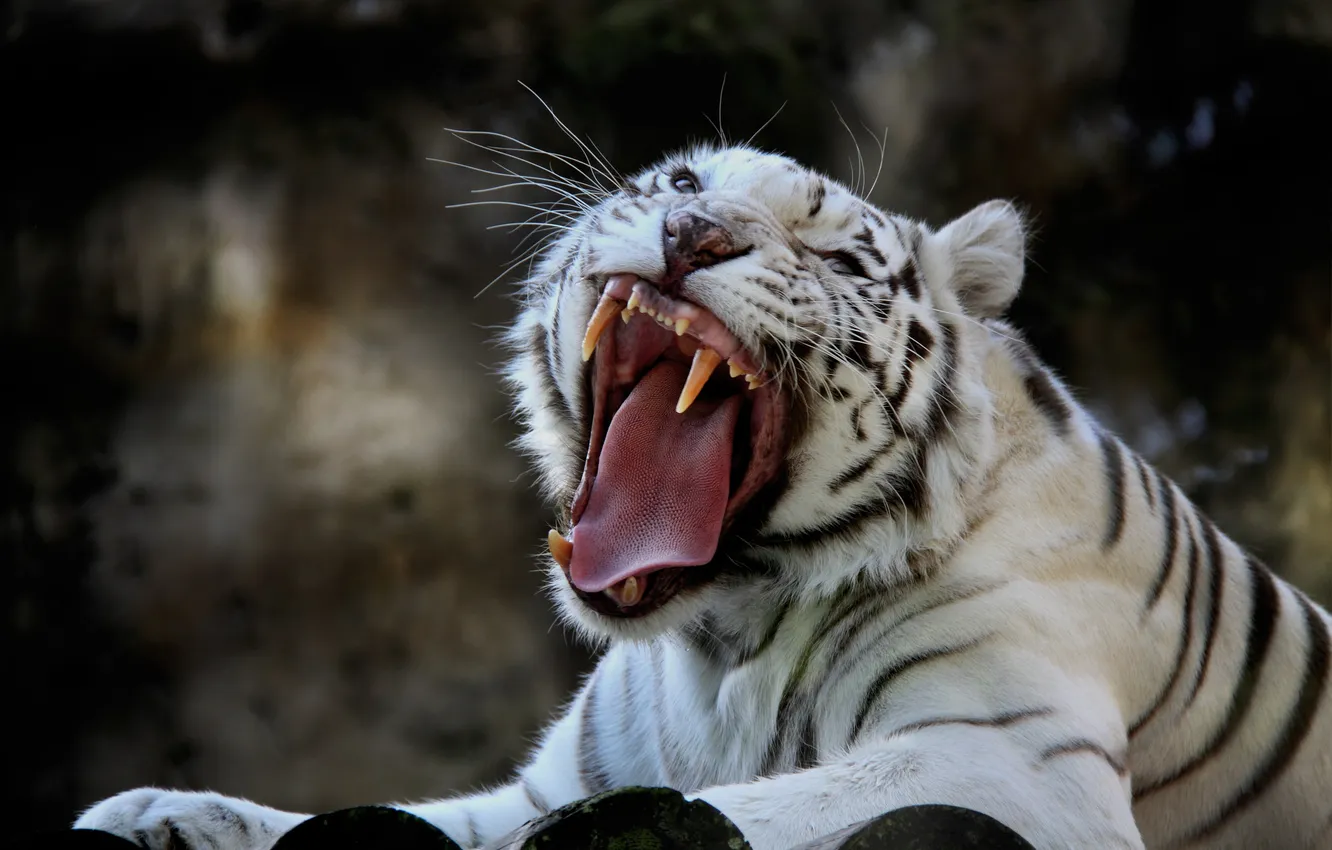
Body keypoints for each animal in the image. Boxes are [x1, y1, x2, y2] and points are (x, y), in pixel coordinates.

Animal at [72, 144, 1332, 850]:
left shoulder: (1004, 757)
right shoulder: (567, 780)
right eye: (680, 185)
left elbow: (762, 807)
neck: (724, 632)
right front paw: (150, 815)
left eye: (836, 258)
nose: (693, 230)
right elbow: (401, 819)